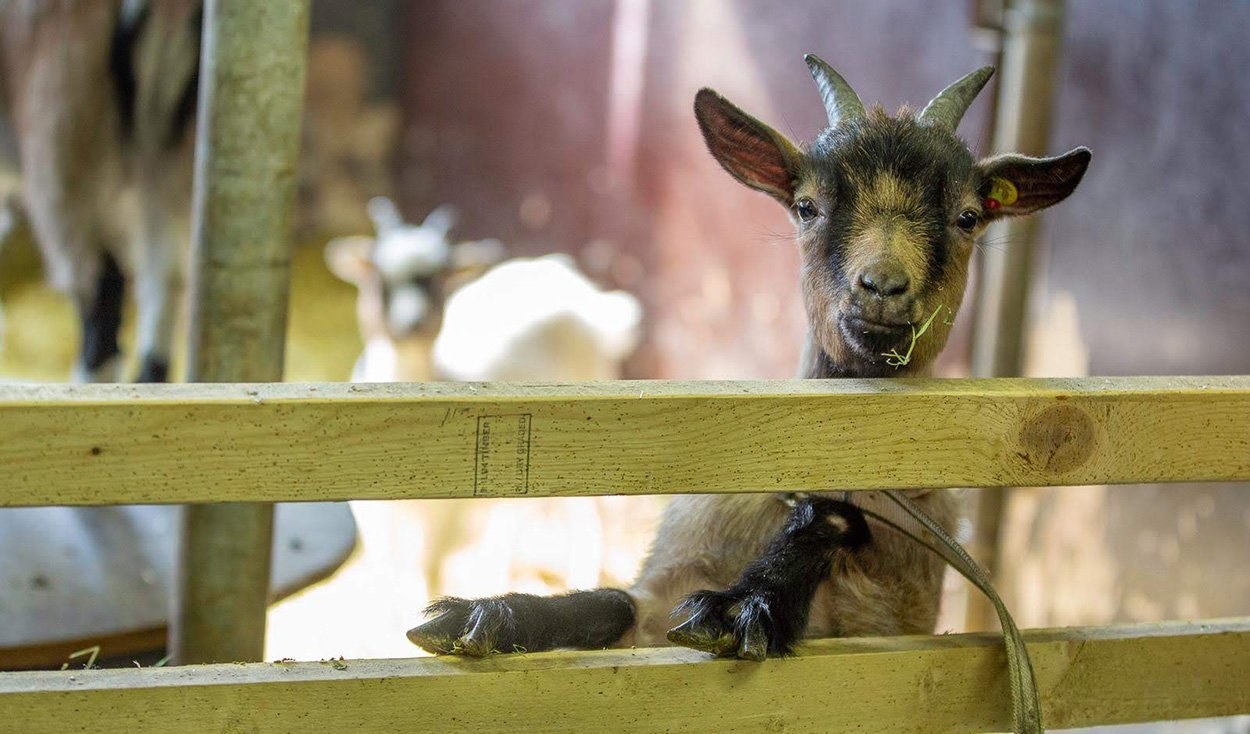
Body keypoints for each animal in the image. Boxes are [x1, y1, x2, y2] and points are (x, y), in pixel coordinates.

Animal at [407, 54, 1090, 659]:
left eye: (968, 217)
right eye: (807, 205)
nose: (883, 286)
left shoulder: (887, 622)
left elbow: (826, 534)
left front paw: (743, 608)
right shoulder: (665, 586)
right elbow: (617, 604)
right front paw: (481, 617)